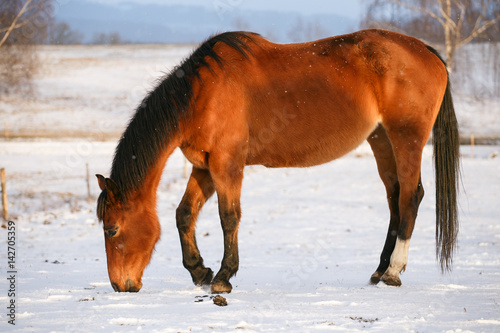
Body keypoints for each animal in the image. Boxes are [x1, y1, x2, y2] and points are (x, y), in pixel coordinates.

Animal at [95, 29, 458, 294]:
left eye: (112, 230)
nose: (120, 285)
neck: (202, 94)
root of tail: (428, 52)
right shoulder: (204, 166)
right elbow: (184, 215)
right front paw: (199, 271)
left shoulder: (227, 164)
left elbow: (229, 217)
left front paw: (223, 277)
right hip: (381, 140)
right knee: (395, 199)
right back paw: (379, 270)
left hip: (407, 138)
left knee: (410, 196)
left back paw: (394, 271)